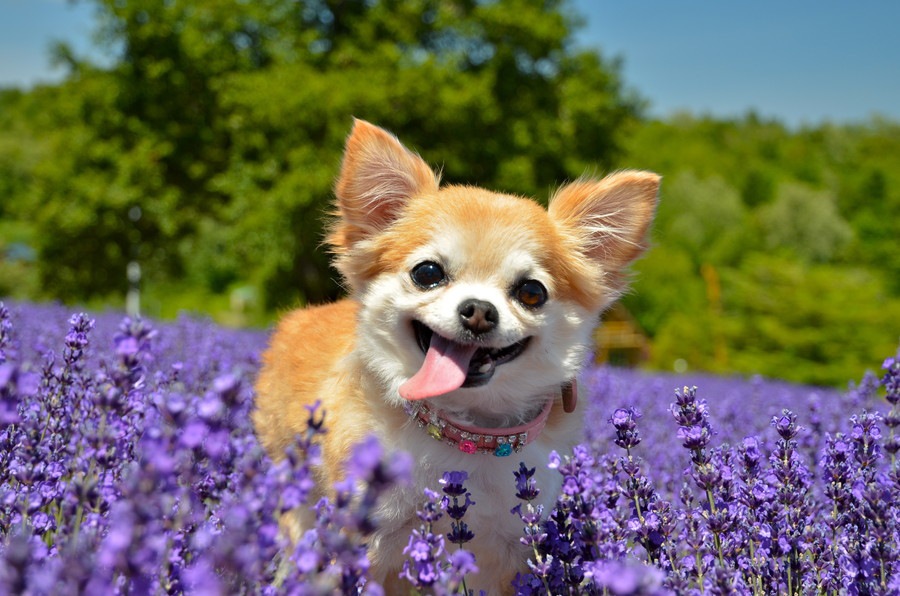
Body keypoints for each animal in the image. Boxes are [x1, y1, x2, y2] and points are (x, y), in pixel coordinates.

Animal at [253, 120, 660, 592]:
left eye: (531, 292)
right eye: (427, 273)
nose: (479, 310)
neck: (467, 433)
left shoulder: (520, 548)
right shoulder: (364, 536)